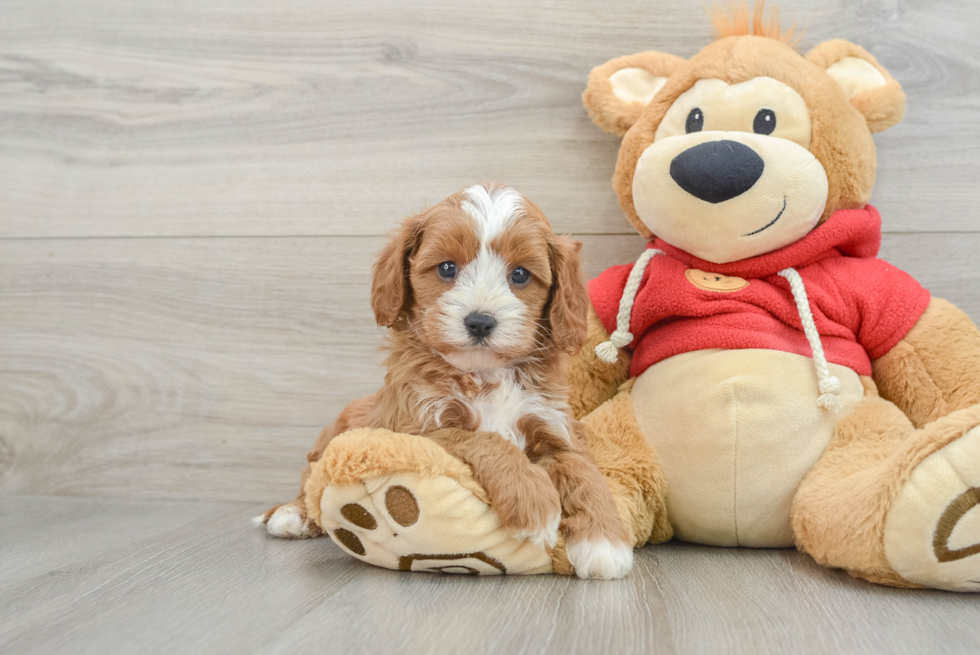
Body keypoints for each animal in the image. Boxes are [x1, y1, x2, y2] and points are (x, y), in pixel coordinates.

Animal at [256, 183, 632, 580]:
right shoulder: (415, 427)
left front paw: (605, 543)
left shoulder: (554, 424)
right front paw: (534, 499)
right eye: (447, 268)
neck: (485, 374)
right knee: (311, 484)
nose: (480, 321)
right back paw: (292, 515)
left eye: (520, 275)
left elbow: (583, 471)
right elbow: (483, 439)